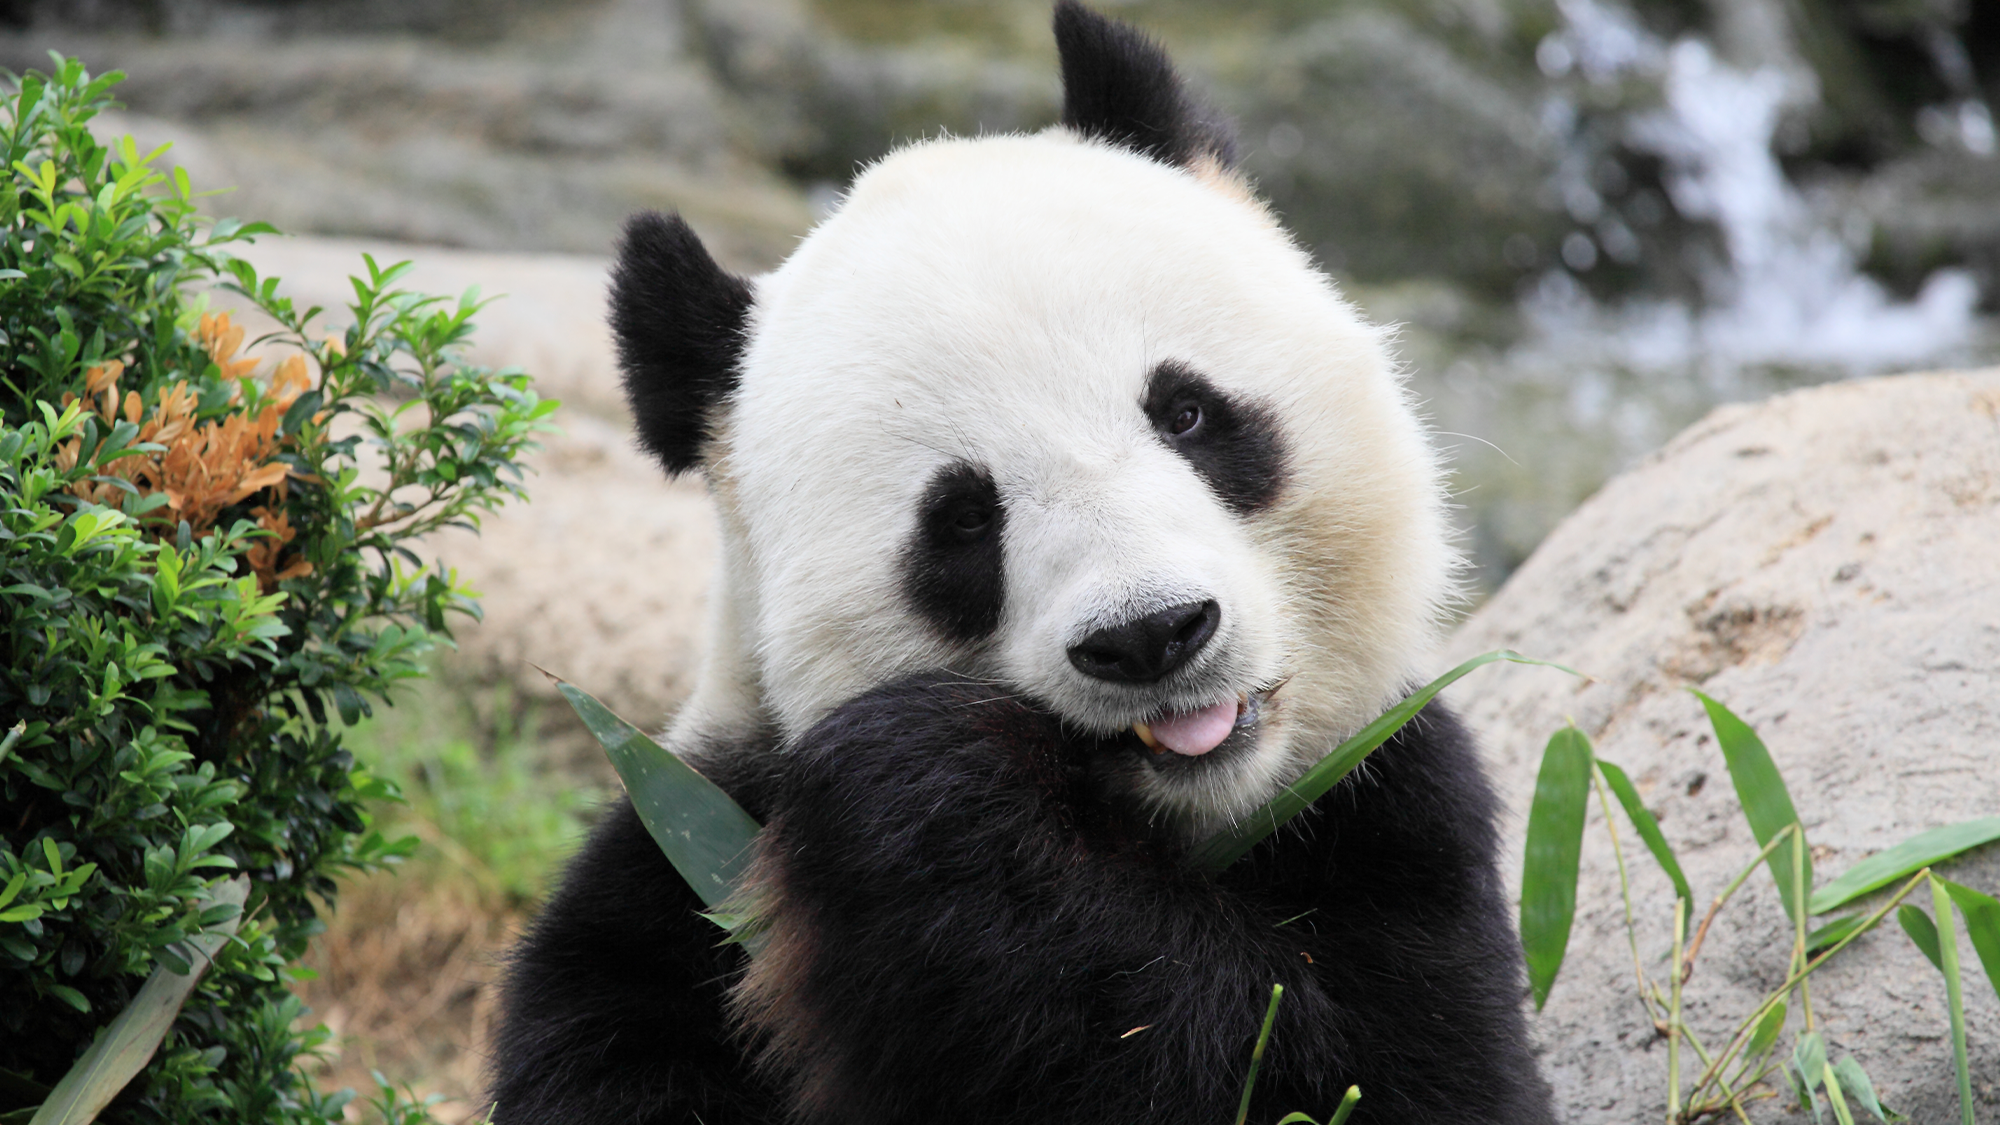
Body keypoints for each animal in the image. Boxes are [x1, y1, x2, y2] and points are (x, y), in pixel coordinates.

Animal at [492, 4, 1552, 1112]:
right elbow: (616, 1044)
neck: (1183, 824)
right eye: (961, 519)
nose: (1149, 635)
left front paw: (932, 789)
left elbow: (1343, 1070)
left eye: (1186, 413)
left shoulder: (1390, 809)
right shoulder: (688, 857)